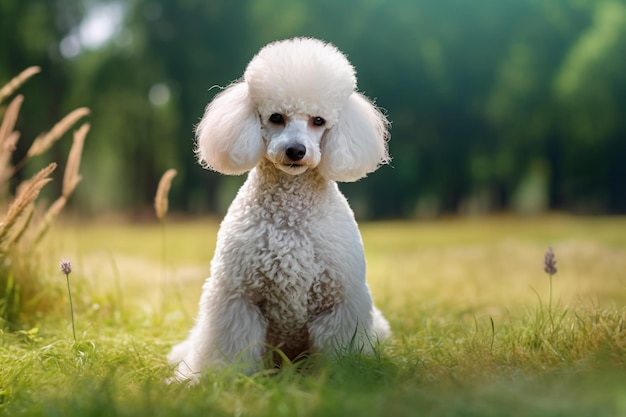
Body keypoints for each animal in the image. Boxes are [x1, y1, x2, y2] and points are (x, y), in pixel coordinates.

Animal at [168, 37, 388, 382]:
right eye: (275, 117)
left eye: (318, 121)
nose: (295, 150)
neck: (291, 216)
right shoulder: (238, 298)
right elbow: (232, 349)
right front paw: (223, 380)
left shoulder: (340, 301)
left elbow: (339, 349)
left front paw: (343, 379)